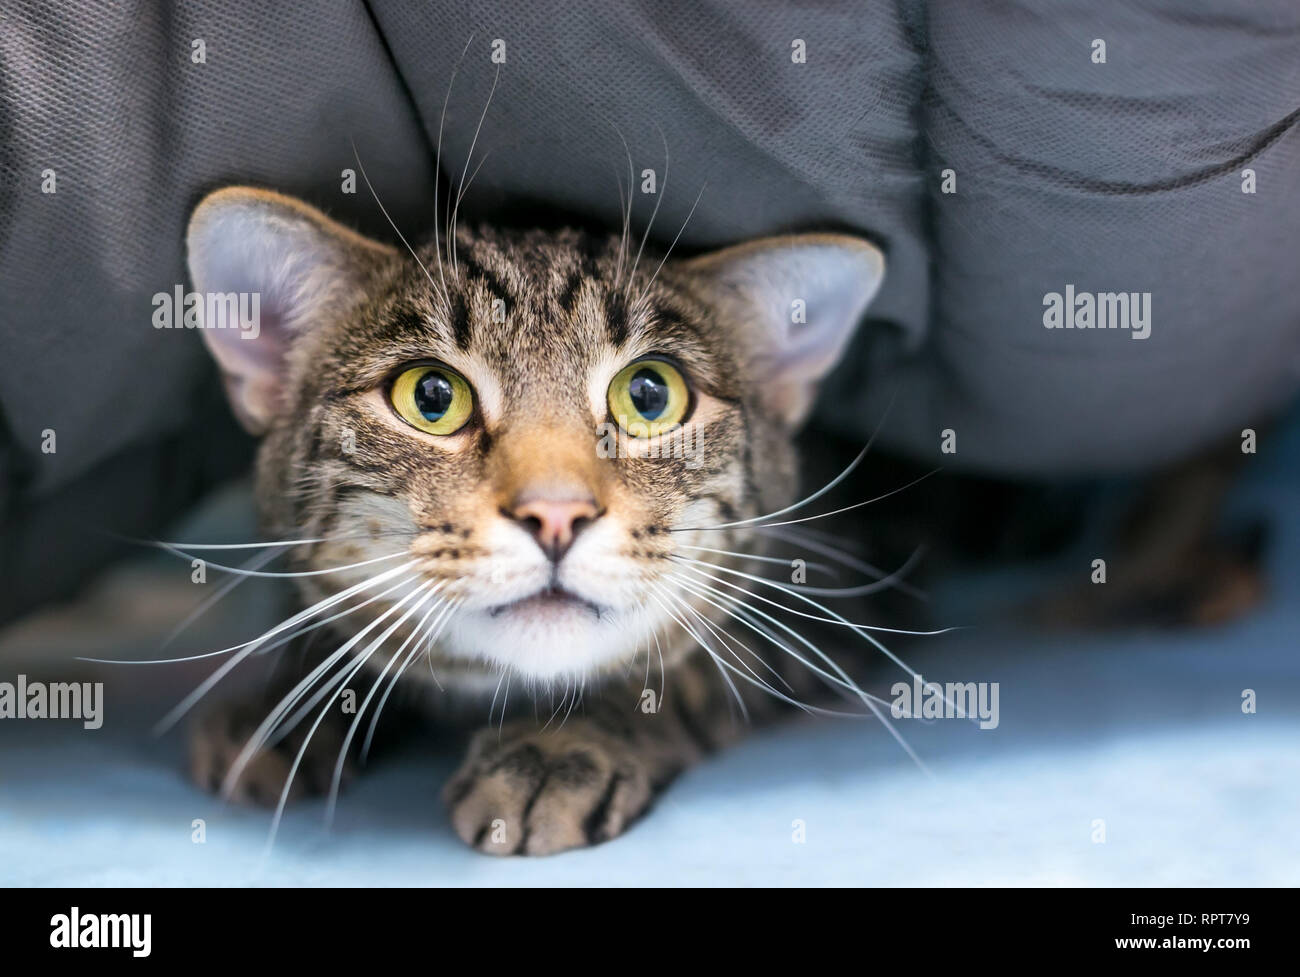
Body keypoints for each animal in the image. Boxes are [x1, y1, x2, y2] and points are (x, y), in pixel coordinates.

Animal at [185, 184, 883, 852]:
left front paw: (561, 748)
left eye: (650, 394)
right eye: (430, 396)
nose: (556, 513)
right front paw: (285, 712)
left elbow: (690, 672)